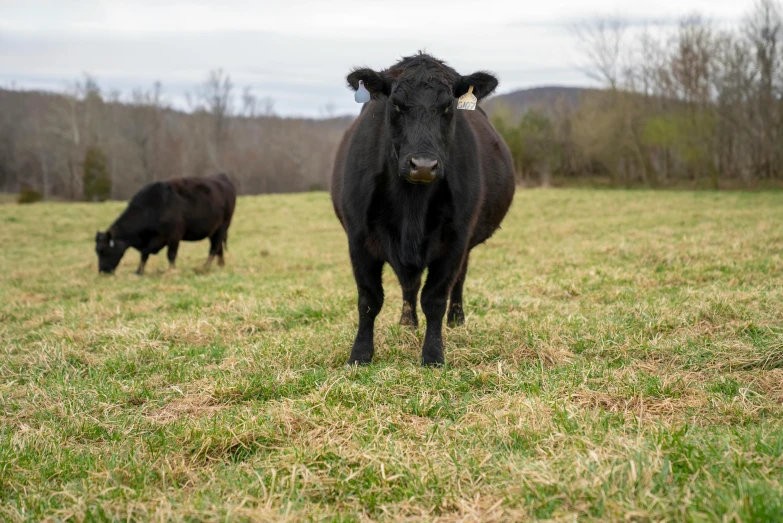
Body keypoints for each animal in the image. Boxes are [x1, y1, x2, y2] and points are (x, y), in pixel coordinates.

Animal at [95, 174, 236, 276]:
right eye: (97, 251)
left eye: (104, 250)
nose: (102, 271)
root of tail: (221, 177)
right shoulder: (156, 239)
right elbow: (145, 254)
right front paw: (139, 272)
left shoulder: (174, 236)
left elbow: (170, 255)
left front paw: (171, 271)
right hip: (213, 230)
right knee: (218, 247)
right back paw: (219, 265)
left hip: (224, 226)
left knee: (214, 247)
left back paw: (205, 267)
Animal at [330, 52, 516, 364]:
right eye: (396, 104)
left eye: (448, 105)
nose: (424, 165)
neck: (411, 206)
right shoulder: (358, 237)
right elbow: (369, 299)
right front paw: (360, 354)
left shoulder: (455, 239)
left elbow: (435, 298)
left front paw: (433, 355)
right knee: (410, 285)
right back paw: (407, 322)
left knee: (457, 281)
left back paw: (456, 320)